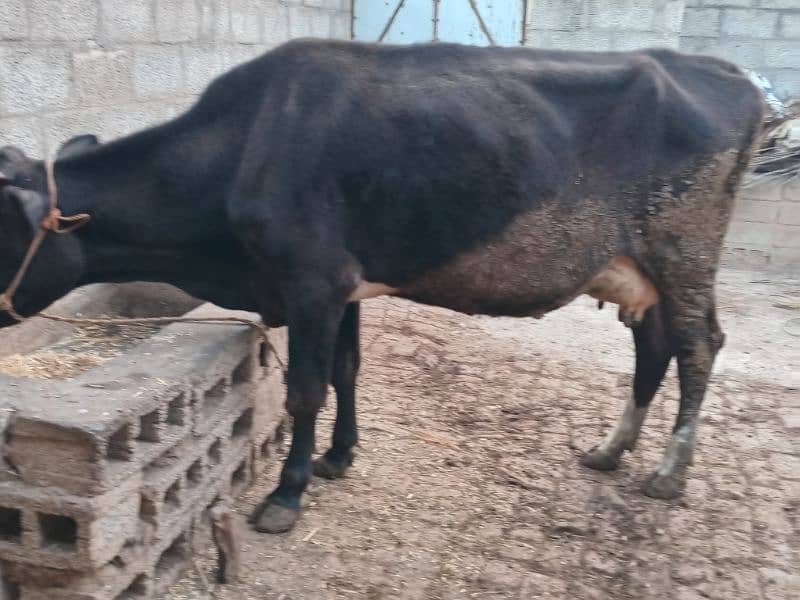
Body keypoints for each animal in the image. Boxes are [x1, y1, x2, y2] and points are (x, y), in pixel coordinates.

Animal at [0, 39, 764, 532]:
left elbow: (305, 389)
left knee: (698, 346)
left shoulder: (311, 278)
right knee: (654, 347)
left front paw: (286, 496)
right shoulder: (344, 287)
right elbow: (347, 369)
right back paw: (609, 451)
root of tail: (724, 69)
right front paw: (339, 457)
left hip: (684, 252)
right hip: (642, 270)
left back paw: (669, 473)